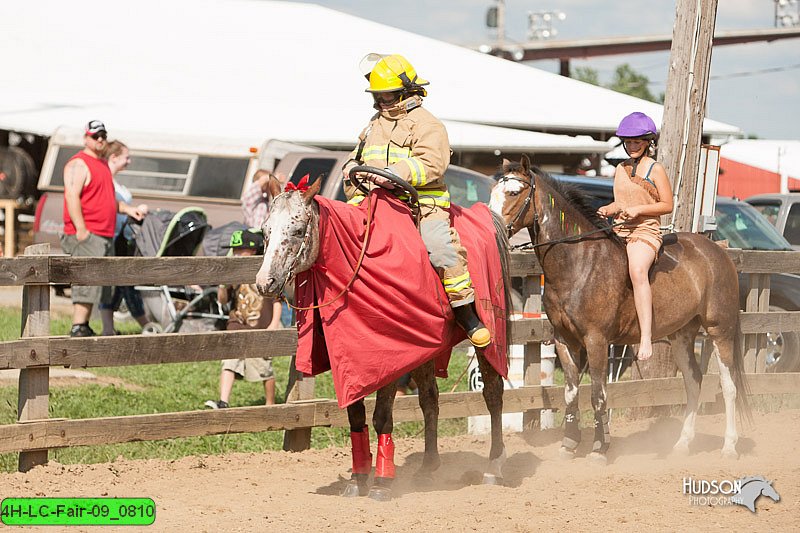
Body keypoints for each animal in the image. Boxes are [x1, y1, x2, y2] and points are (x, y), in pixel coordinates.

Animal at [253, 174, 510, 498]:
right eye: (265, 230)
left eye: (298, 229)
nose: (265, 282)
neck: (356, 264)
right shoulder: (348, 359)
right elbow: (356, 417)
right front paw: (357, 479)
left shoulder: (390, 361)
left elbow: (382, 417)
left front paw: (382, 483)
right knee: (430, 399)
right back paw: (428, 468)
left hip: (489, 339)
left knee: (493, 394)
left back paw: (494, 467)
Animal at [488, 155, 752, 462]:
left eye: (513, 193)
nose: (491, 227)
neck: (578, 263)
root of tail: (718, 251)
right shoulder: (565, 340)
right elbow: (571, 393)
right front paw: (569, 444)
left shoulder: (596, 341)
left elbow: (598, 395)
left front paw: (600, 448)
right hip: (682, 335)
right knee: (693, 381)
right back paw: (682, 444)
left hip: (720, 331)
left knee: (729, 385)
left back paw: (729, 447)